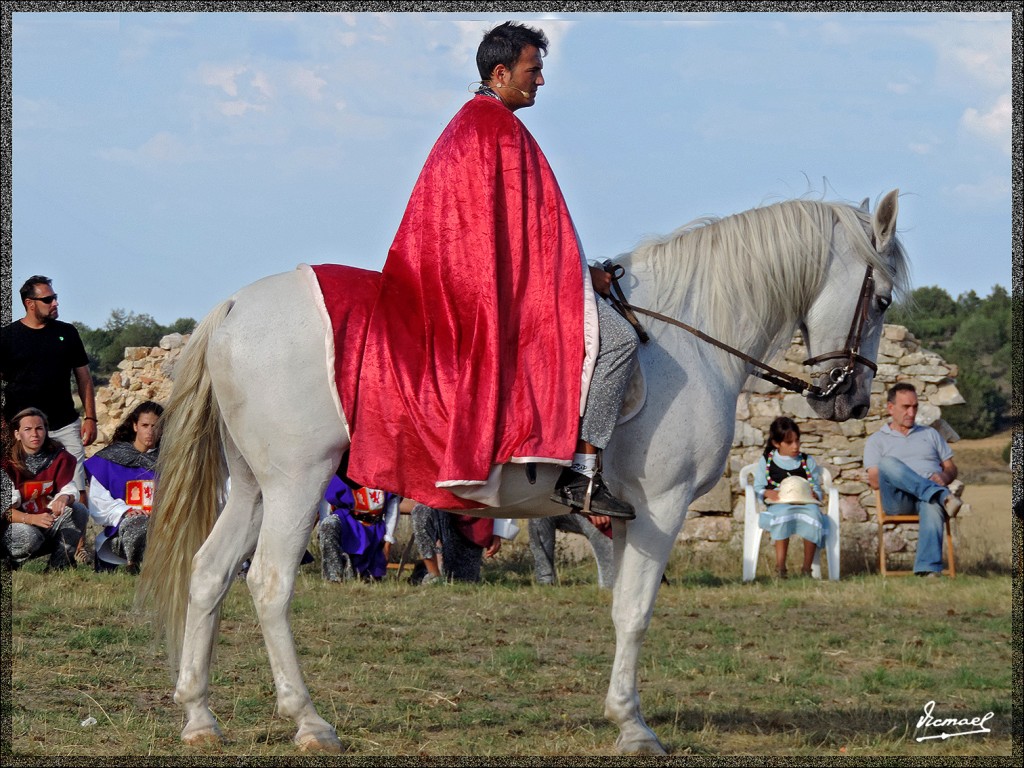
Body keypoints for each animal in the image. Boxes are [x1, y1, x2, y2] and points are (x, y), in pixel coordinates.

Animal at [140, 189, 909, 753]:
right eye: (881, 299)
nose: (850, 399)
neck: (683, 335)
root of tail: (235, 307)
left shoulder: (618, 519)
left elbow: (618, 600)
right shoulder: (658, 508)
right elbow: (633, 611)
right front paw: (633, 725)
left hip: (254, 489)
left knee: (209, 575)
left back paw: (200, 716)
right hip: (298, 484)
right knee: (269, 584)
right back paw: (307, 720)